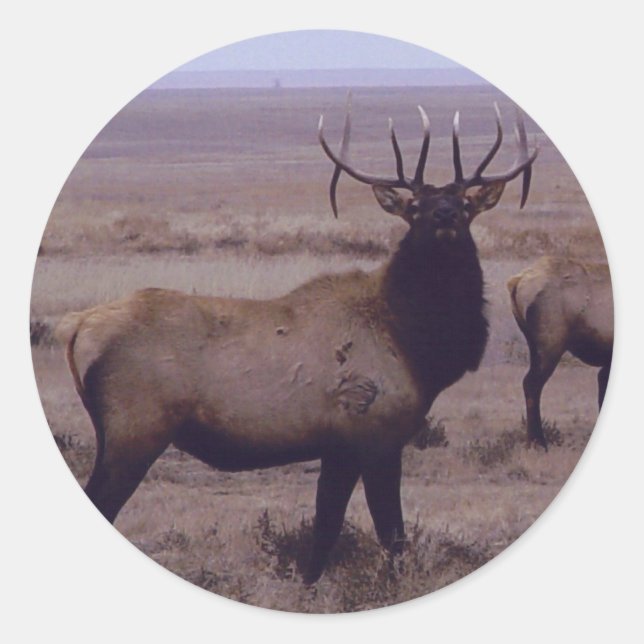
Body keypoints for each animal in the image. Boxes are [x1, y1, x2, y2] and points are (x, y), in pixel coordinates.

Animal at [55, 99, 538, 583]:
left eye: (465, 203)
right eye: (414, 205)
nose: (444, 216)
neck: (416, 346)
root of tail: (77, 329)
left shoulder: (340, 446)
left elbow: (326, 528)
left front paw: (309, 584)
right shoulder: (375, 432)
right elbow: (389, 533)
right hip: (135, 429)